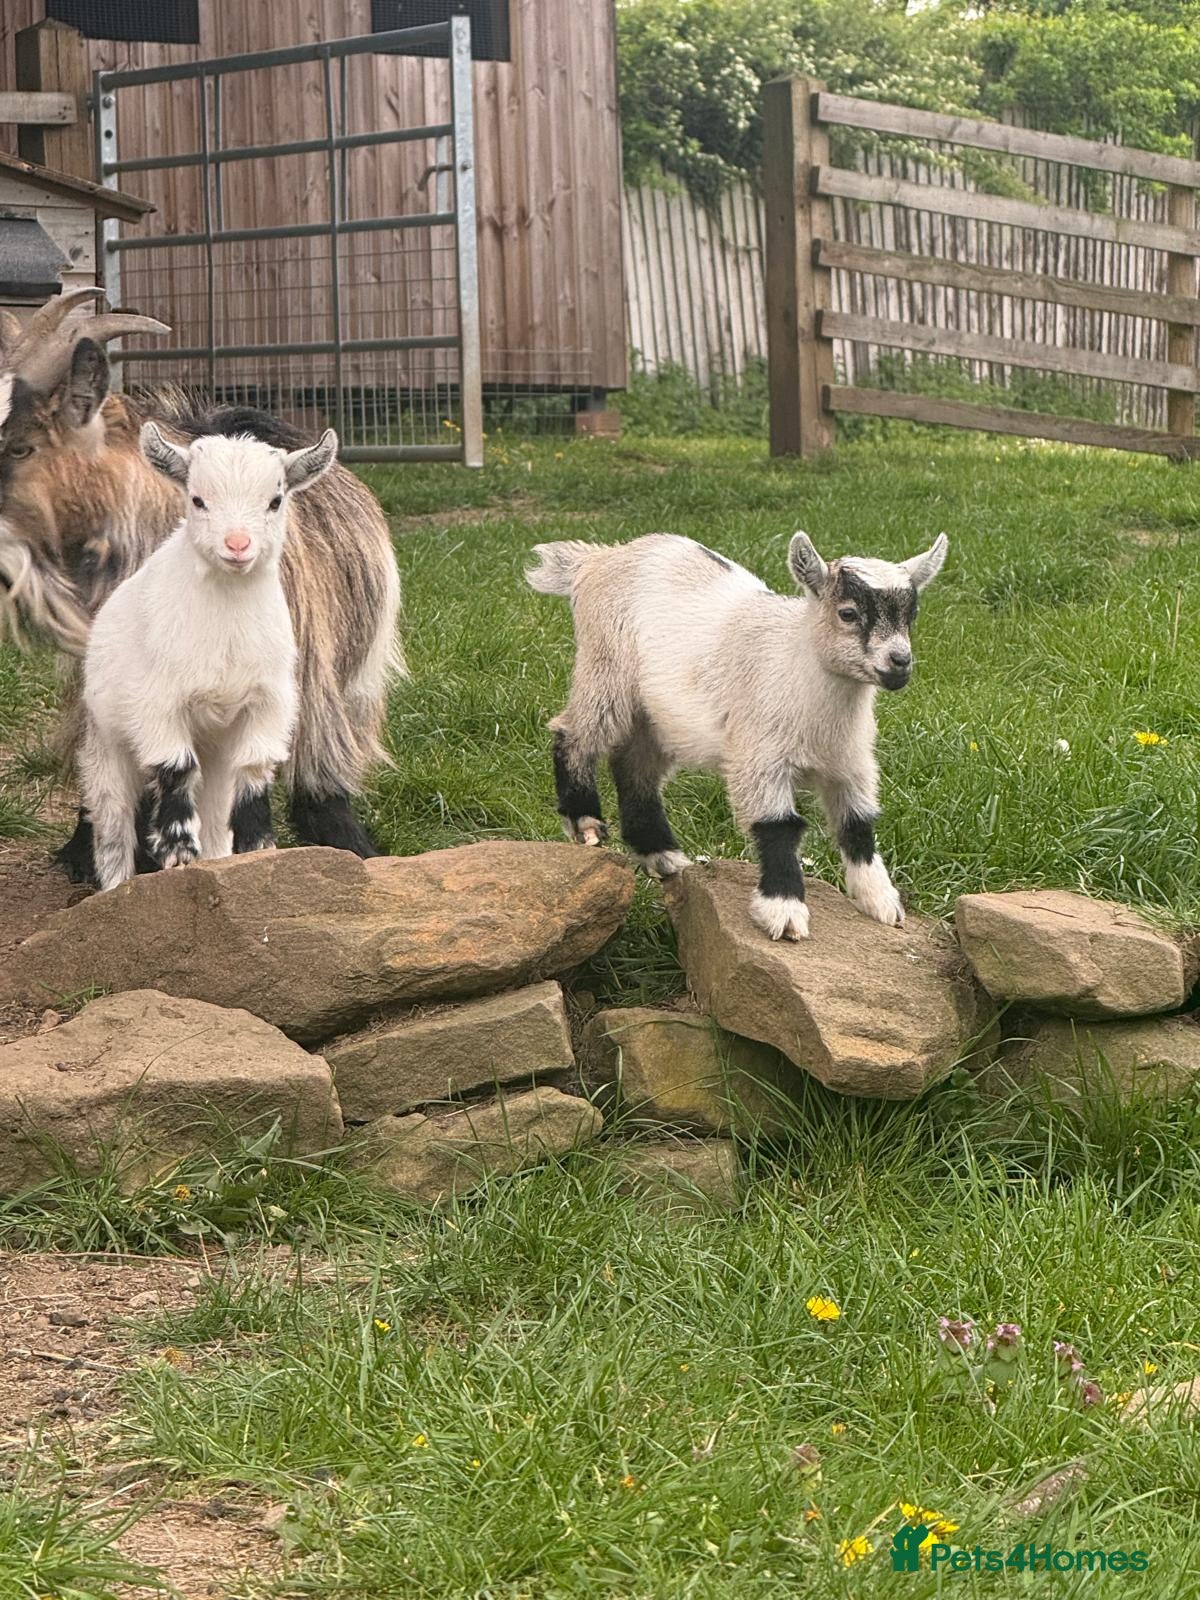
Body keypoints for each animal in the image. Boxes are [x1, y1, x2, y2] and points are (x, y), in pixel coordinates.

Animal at [81, 425, 337, 891]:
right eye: (197, 499)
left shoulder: (269, 703)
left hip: (217, 749)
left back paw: (219, 859)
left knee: (217, 809)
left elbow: (254, 768)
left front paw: (259, 847)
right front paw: (178, 853)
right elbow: (176, 769)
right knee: (112, 818)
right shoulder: (158, 706)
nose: (237, 545)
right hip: (106, 740)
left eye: (275, 500)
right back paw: (116, 883)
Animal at [526, 530, 948, 940]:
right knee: (575, 732)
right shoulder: (760, 757)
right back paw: (585, 822)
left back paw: (661, 854)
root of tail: (596, 558)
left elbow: (857, 823)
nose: (900, 662)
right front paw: (784, 911)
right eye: (848, 613)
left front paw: (880, 901)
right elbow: (778, 827)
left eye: (911, 615)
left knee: (635, 767)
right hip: (605, 666)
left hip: (657, 714)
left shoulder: (851, 762)